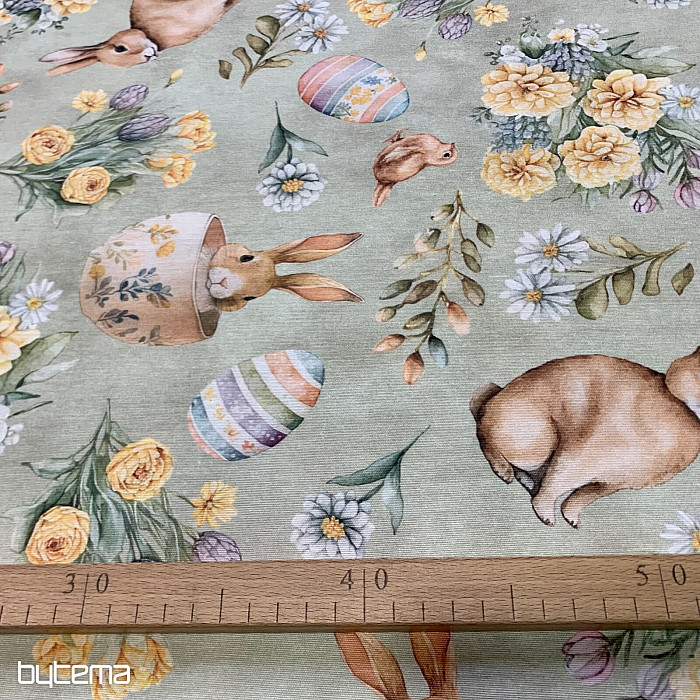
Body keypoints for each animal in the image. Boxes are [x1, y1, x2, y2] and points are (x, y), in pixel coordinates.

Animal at [470, 350, 700, 529]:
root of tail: (491, 403)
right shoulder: (578, 457)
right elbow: (556, 483)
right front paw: (545, 514)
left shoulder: (610, 482)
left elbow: (581, 497)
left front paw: (571, 518)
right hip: (537, 443)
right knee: (484, 430)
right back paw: (503, 470)